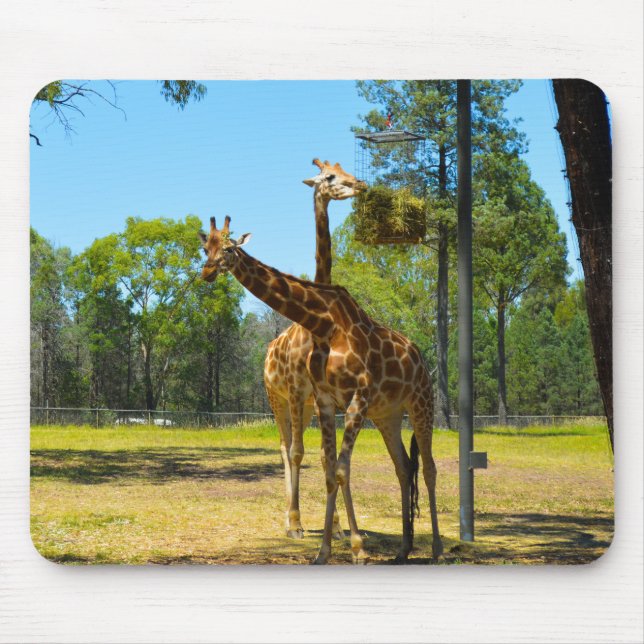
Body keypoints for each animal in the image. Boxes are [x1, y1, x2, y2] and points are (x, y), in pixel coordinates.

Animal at [200, 216, 443, 565]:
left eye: (229, 249)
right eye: (206, 248)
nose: (206, 272)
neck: (324, 323)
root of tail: (420, 358)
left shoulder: (357, 398)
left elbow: (340, 469)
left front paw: (356, 548)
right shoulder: (327, 400)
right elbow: (330, 470)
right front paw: (324, 550)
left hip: (422, 402)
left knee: (429, 467)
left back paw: (436, 547)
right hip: (386, 415)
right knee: (403, 466)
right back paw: (403, 549)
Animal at [264, 159, 366, 539]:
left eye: (345, 169)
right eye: (329, 177)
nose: (359, 184)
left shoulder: (324, 398)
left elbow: (326, 456)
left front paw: (336, 528)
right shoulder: (295, 389)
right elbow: (297, 452)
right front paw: (295, 523)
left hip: (304, 405)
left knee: (295, 447)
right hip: (276, 398)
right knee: (284, 446)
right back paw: (288, 519)